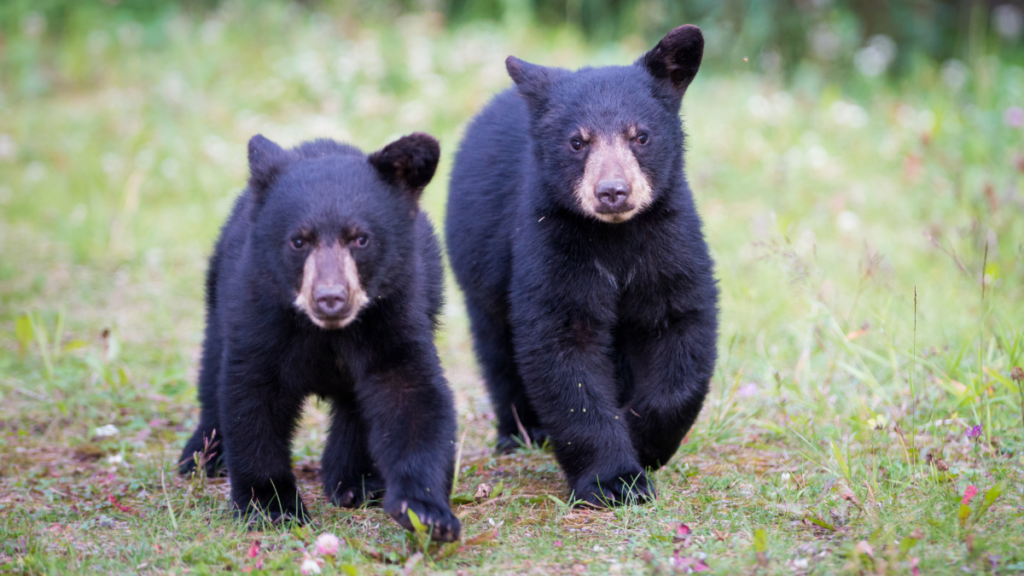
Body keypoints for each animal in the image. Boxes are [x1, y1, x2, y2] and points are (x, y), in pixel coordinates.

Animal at [178, 132, 460, 541]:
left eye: (360, 239)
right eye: (298, 241)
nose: (330, 297)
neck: (326, 332)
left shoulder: (396, 312)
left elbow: (411, 395)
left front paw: (426, 511)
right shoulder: (258, 311)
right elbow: (252, 397)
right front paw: (271, 505)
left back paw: (356, 481)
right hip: (217, 292)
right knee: (212, 366)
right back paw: (202, 455)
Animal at [445, 24, 718, 507]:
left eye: (640, 136)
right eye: (577, 141)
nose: (612, 191)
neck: (615, 236)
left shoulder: (669, 238)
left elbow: (680, 327)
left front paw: (644, 440)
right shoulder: (552, 242)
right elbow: (563, 348)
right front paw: (614, 480)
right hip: (479, 265)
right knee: (497, 346)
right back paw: (521, 431)